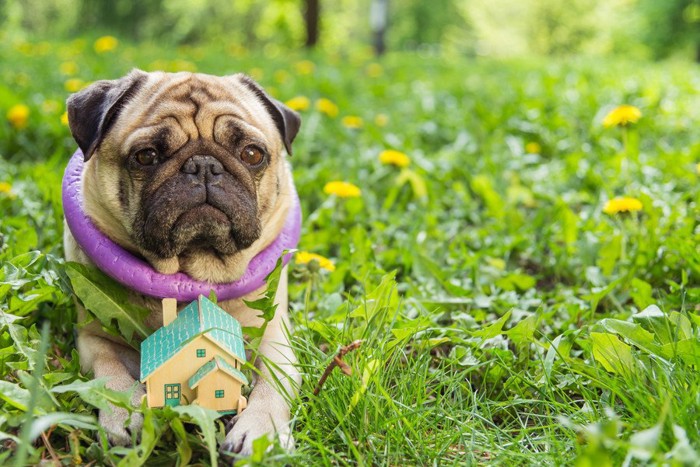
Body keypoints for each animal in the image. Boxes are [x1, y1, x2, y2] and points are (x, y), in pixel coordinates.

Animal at [66, 70, 304, 458]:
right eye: (146, 156)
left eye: (252, 154)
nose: (204, 165)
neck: (193, 268)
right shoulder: (94, 337)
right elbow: (109, 370)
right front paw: (124, 413)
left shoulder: (273, 340)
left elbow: (274, 385)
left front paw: (260, 430)